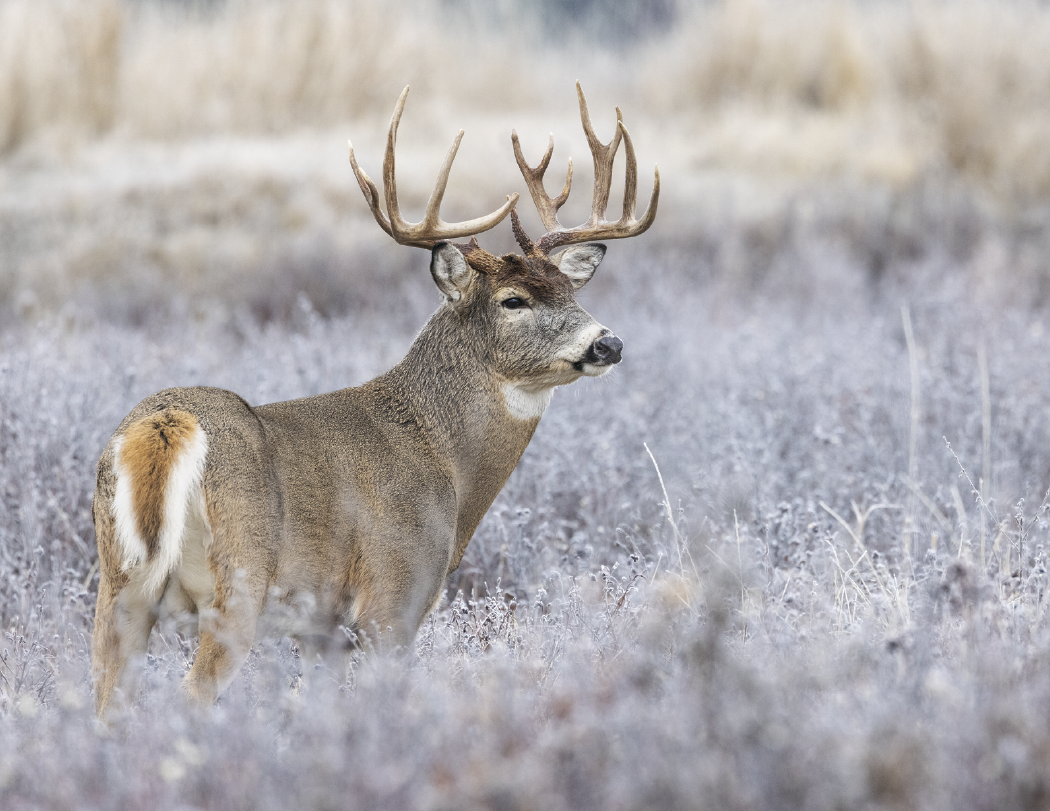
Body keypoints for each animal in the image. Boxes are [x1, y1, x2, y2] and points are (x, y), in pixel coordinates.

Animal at [90, 83, 659, 718]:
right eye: (514, 300)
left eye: (569, 290)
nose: (607, 343)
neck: (445, 460)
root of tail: (167, 426)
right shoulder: (395, 593)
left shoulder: (323, 629)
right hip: (237, 582)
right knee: (192, 695)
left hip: (118, 587)